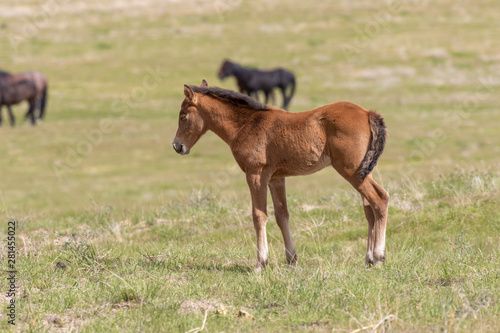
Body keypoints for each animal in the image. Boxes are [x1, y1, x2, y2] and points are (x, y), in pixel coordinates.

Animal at [174, 80, 388, 270]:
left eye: (183, 116)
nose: (177, 146)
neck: (247, 124)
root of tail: (367, 113)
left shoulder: (256, 175)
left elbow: (259, 215)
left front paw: (261, 263)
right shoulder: (276, 178)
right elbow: (282, 215)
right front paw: (291, 260)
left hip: (351, 170)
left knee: (380, 198)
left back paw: (378, 257)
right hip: (363, 170)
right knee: (369, 207)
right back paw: (369, 259)